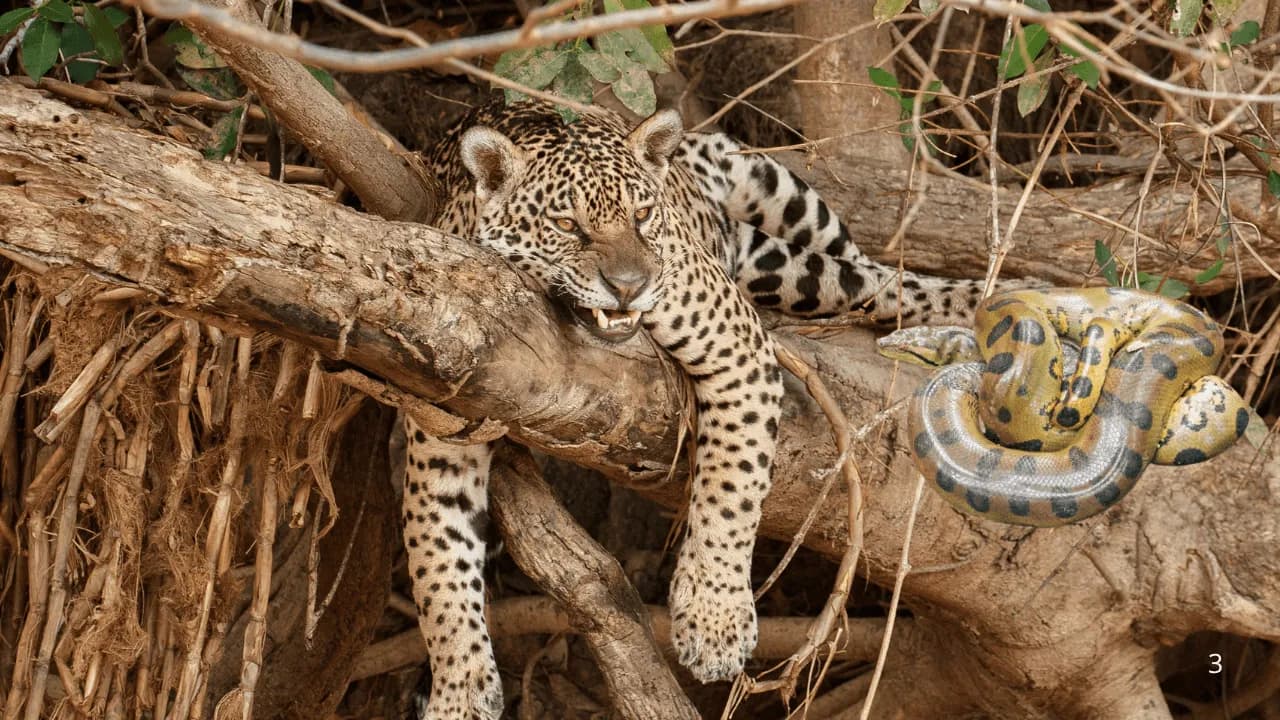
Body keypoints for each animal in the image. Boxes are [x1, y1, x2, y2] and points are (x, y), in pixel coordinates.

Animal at [403, 98, 993, 719]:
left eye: (642, 215)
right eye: (567, 226)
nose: (629, 286)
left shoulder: (738, 347)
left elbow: (733, 486)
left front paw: (715, 622)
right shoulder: (442, 423)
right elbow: (436, 560)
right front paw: (456, 688)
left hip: (779, 198)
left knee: (874, 274)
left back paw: (979, 303)